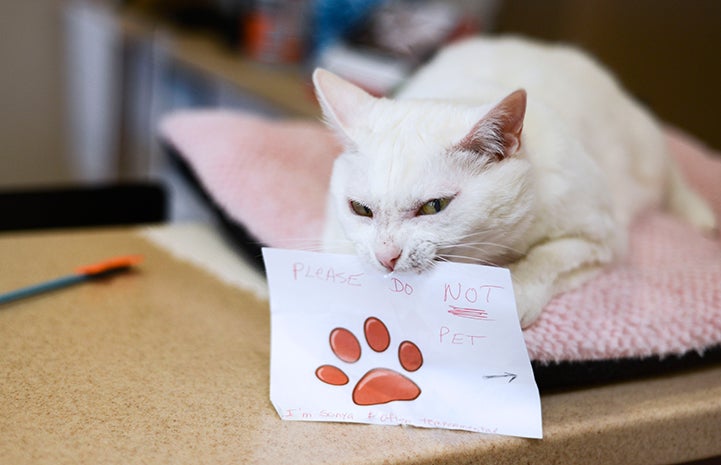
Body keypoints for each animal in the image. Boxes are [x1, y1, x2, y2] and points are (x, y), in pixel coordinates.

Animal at [316, 36, 716, 326]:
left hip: (646, 148)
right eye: (361, 209)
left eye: (434, 206)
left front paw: (515, 298)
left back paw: (703, 217)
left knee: (673, 175)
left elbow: (544, 259)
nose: (387, 257)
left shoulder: (601, 237)